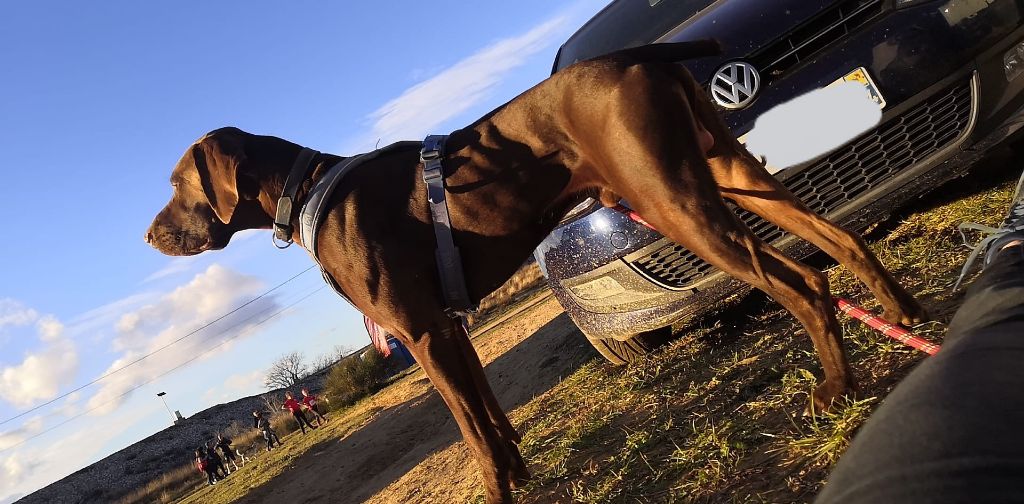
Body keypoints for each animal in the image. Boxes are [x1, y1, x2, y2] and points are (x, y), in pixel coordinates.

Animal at [146, 41, 929, 501]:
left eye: (179, 185)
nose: (149, 236)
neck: (310, 194)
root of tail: (643, 56)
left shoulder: (421, 334)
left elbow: (474, 433)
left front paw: (499, 490)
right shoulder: (447, 330)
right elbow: (493, 421)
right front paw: (519, 478)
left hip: (676, 202)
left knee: (804, 281)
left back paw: (837, 385)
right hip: (732, 173)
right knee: (840, 239)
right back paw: (901, 313)